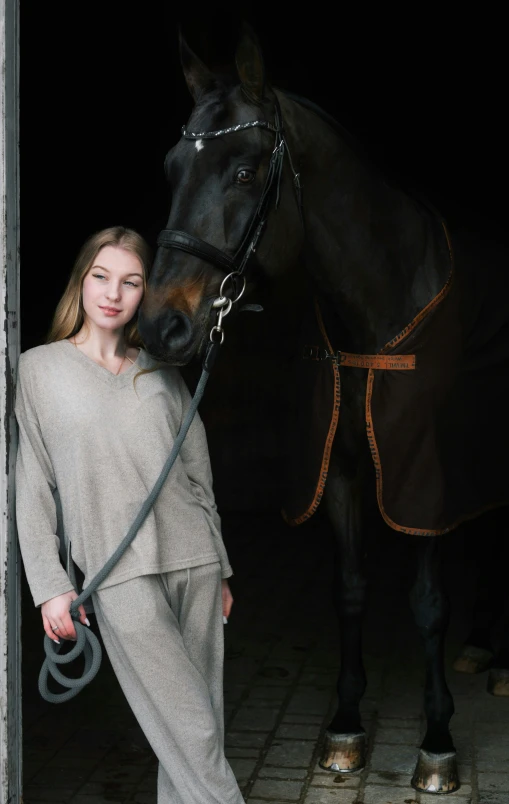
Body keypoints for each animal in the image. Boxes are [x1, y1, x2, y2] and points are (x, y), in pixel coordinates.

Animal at [138, 23, 508, 792]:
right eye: (171, 167)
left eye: (246, 172)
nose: (162, 327)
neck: (375, 311)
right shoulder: (336, 470)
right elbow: (349, 590)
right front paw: (344, 726)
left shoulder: (422, 484)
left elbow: (427, 605)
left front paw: (436, 740)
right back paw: (483, 648)